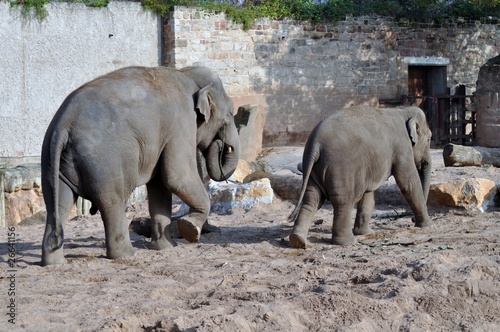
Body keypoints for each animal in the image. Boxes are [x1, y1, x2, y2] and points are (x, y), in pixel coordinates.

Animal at [41, 66, 240, 266]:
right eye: (230, 114)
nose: (221, 144)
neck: (186, 73)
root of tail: (64, 124)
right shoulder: (181, 123)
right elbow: (177, 177)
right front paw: (190, 229)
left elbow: (160, 186)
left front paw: (167, 247)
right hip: (103, 162)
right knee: (112, 202)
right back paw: (126, 254)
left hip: (51, 161)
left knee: (58, 203)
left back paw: (54, 262)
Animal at [290, 105, 434, 248]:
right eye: (429, 139)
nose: (412, 219)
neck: (402, 110)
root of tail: (316, 144)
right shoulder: (402, 148)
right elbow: (408, 183)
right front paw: (428, 225)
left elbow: (369, 194)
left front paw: (365, 233)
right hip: (341, 168)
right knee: (343, 202)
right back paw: (348, 242)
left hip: (314, 169)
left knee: (312, 199)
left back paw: (298, 240)